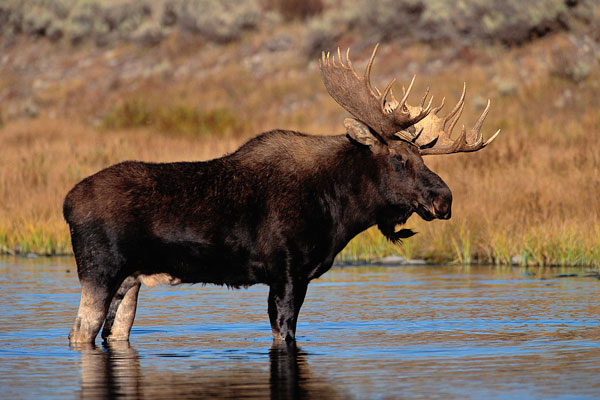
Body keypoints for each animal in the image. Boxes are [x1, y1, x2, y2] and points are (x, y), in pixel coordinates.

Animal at [65, 44, 500, 344]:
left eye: (420, 156)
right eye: (398, 158)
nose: (444, 199)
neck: (339, 210)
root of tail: (67, 203)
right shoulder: (288, 272)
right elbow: (284, 332)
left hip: (131, 281)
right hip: (100, 270)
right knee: (79, 332)